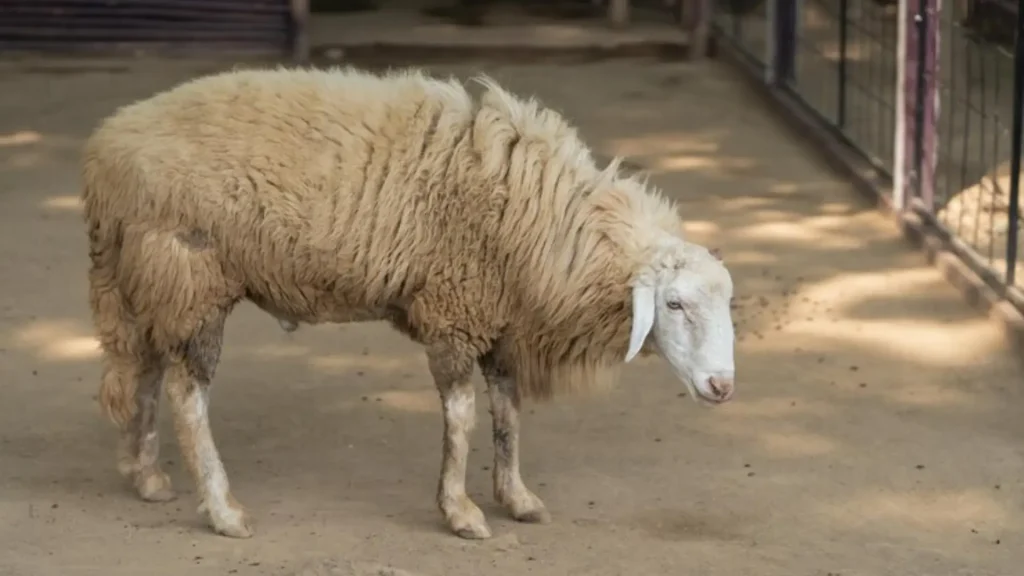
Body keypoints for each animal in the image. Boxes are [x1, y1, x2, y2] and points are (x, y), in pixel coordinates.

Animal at [80, 65, 738, 541]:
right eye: (674, 305)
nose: (723, 387)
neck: (552, 226)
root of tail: (104, 156)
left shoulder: (497, 318)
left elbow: (508, 413)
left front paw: (517, 497)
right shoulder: (455, 309)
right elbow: (463, 418)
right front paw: (460, 511)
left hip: (148, 280)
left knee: (144, 371)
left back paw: (146, 475)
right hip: (191, 275)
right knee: (187, 395)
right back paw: (222, 510)